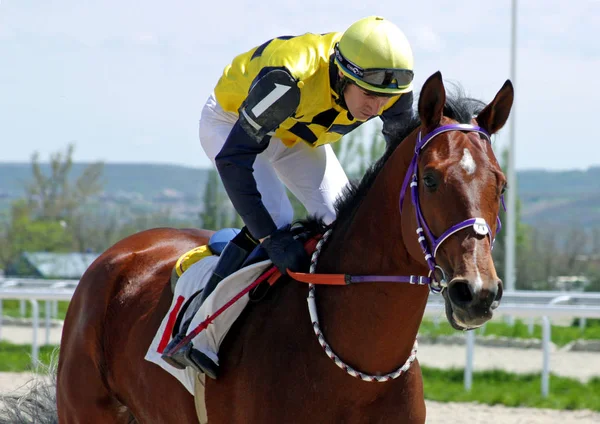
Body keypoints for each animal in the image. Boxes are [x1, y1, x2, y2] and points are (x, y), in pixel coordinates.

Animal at [56, 71, 512, 422]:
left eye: (502, 183)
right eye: (431, 179)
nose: (477, 293)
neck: (359, 370)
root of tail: (119, 254)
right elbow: (237, 157)